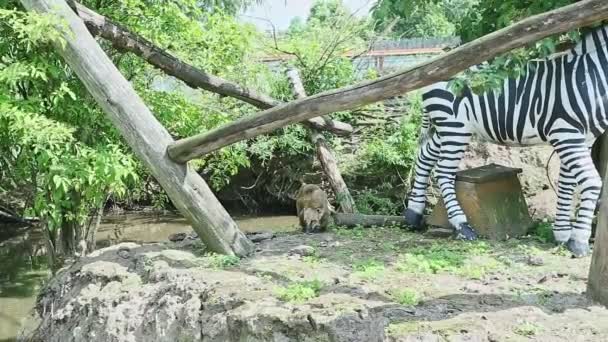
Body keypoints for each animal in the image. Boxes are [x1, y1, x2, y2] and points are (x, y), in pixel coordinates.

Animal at [404, 25, 608, 258]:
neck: (589, 78)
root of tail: (439, 62)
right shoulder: (565, 133)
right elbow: (591, 181)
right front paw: (579, 242)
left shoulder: (582, 138)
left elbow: (567, 183)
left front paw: (563, 234)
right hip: (454, 127)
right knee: (443, 172)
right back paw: (462, 226)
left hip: (447, 128)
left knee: (424, 157)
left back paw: (413, 214)